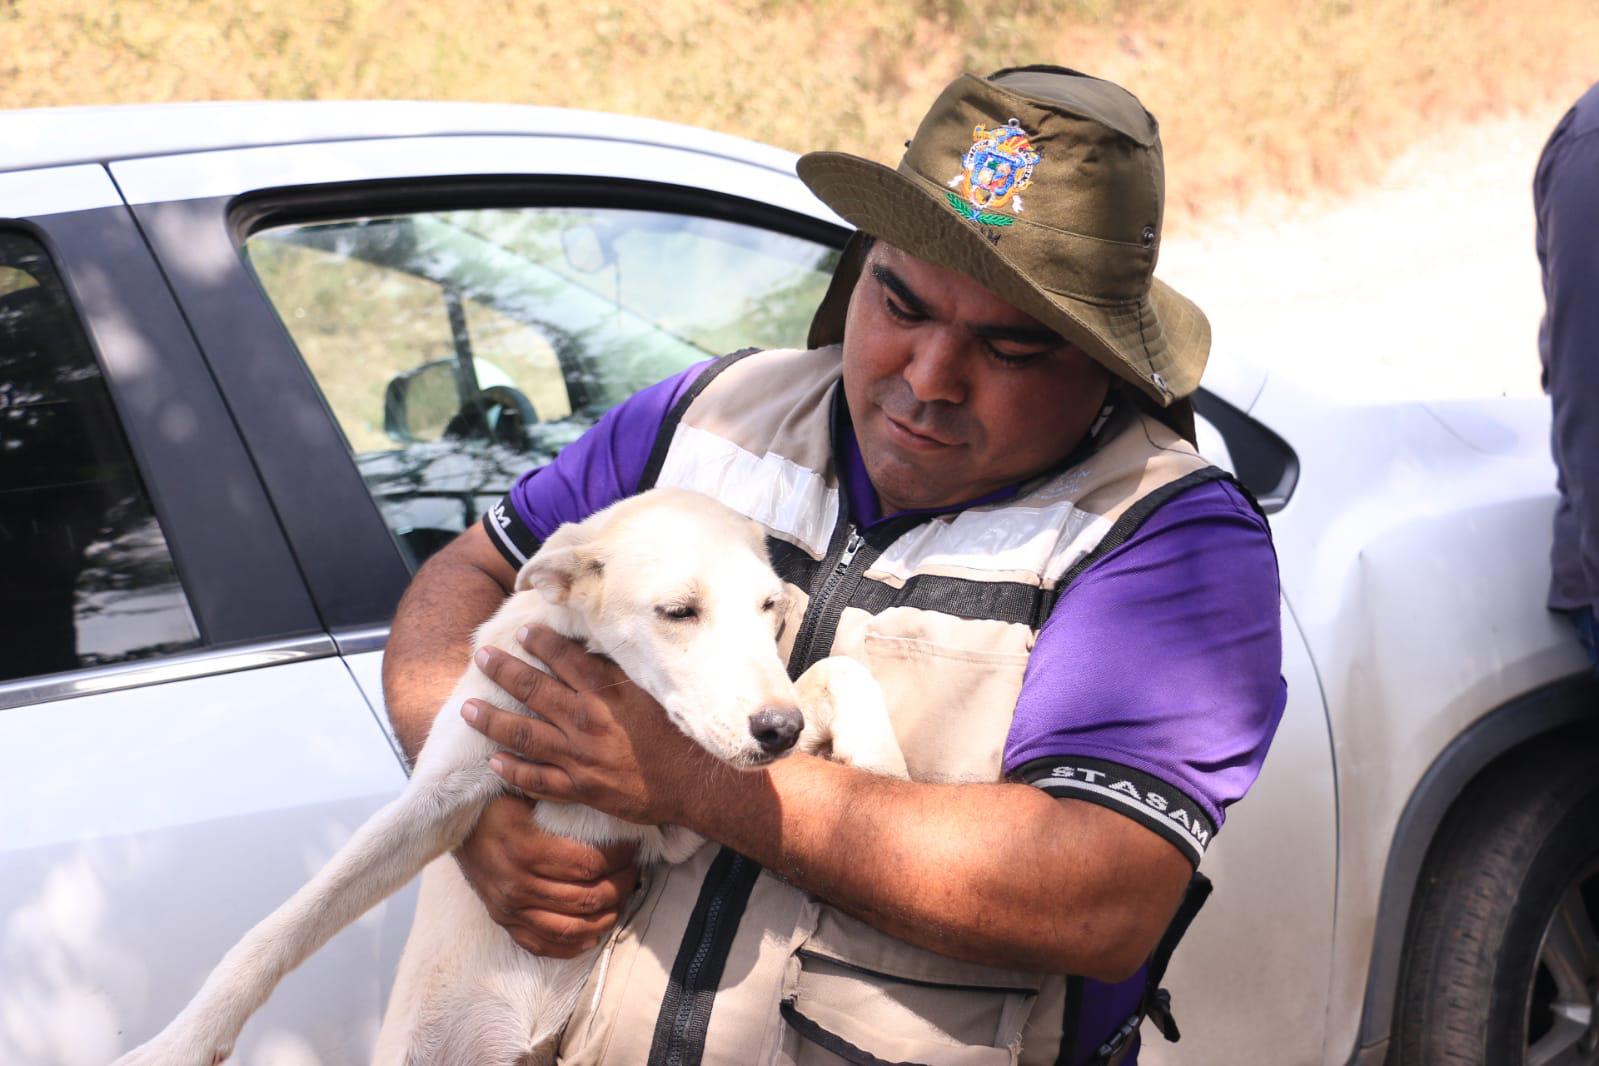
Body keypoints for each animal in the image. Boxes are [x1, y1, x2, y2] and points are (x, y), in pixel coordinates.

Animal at [115, 489, 901, 1066]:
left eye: (770, 606)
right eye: (678, 612)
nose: (780, 732)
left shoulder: (673, 827)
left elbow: (837, 668)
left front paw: (878, 761)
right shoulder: (438, 795)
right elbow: (282, 926)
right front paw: (180, 1045)